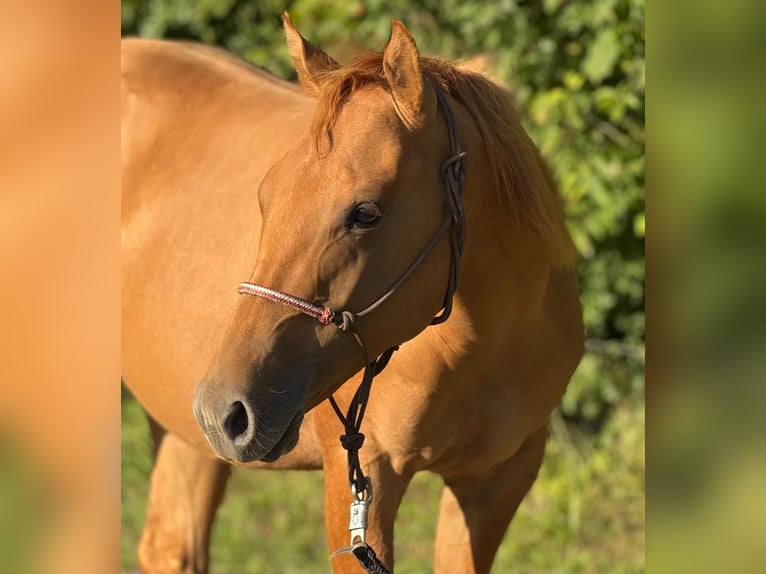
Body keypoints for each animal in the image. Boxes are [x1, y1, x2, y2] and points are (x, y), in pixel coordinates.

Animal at [121, 15, 584, 574]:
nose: (222, 409)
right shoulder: (361, 486)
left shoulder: (497, 481)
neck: (480, 355)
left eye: (366, 214)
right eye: (266, 196)